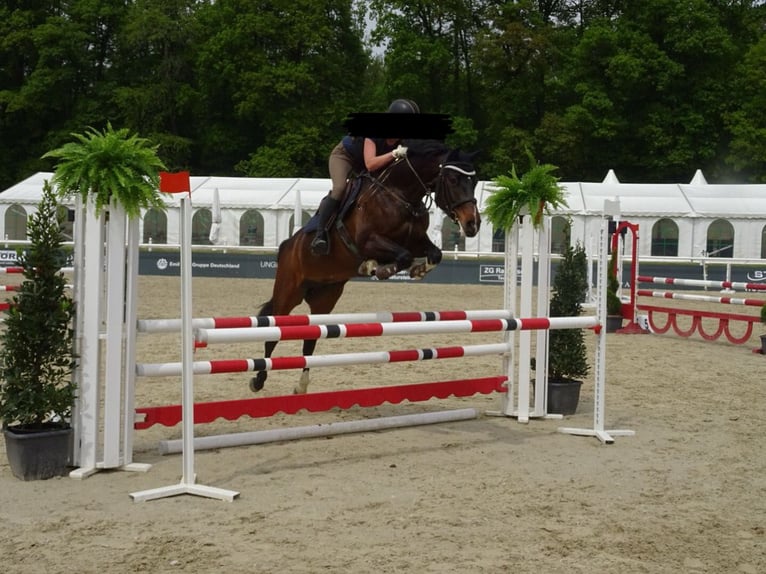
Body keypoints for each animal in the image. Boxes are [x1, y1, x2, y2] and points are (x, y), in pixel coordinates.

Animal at [251, 139, 481, 394]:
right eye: (453, 180)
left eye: (474, 181)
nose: (473, 224)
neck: (401, 195)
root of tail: (287, 245)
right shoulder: (368, 241)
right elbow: (402, 256)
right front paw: (377, 268)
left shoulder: (416, 241)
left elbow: (434, 254)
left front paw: (416, 270)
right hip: (288, 291)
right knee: (273, 332)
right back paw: (258, 379)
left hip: (325, 297)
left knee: (311, 338)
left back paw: (301, 385)